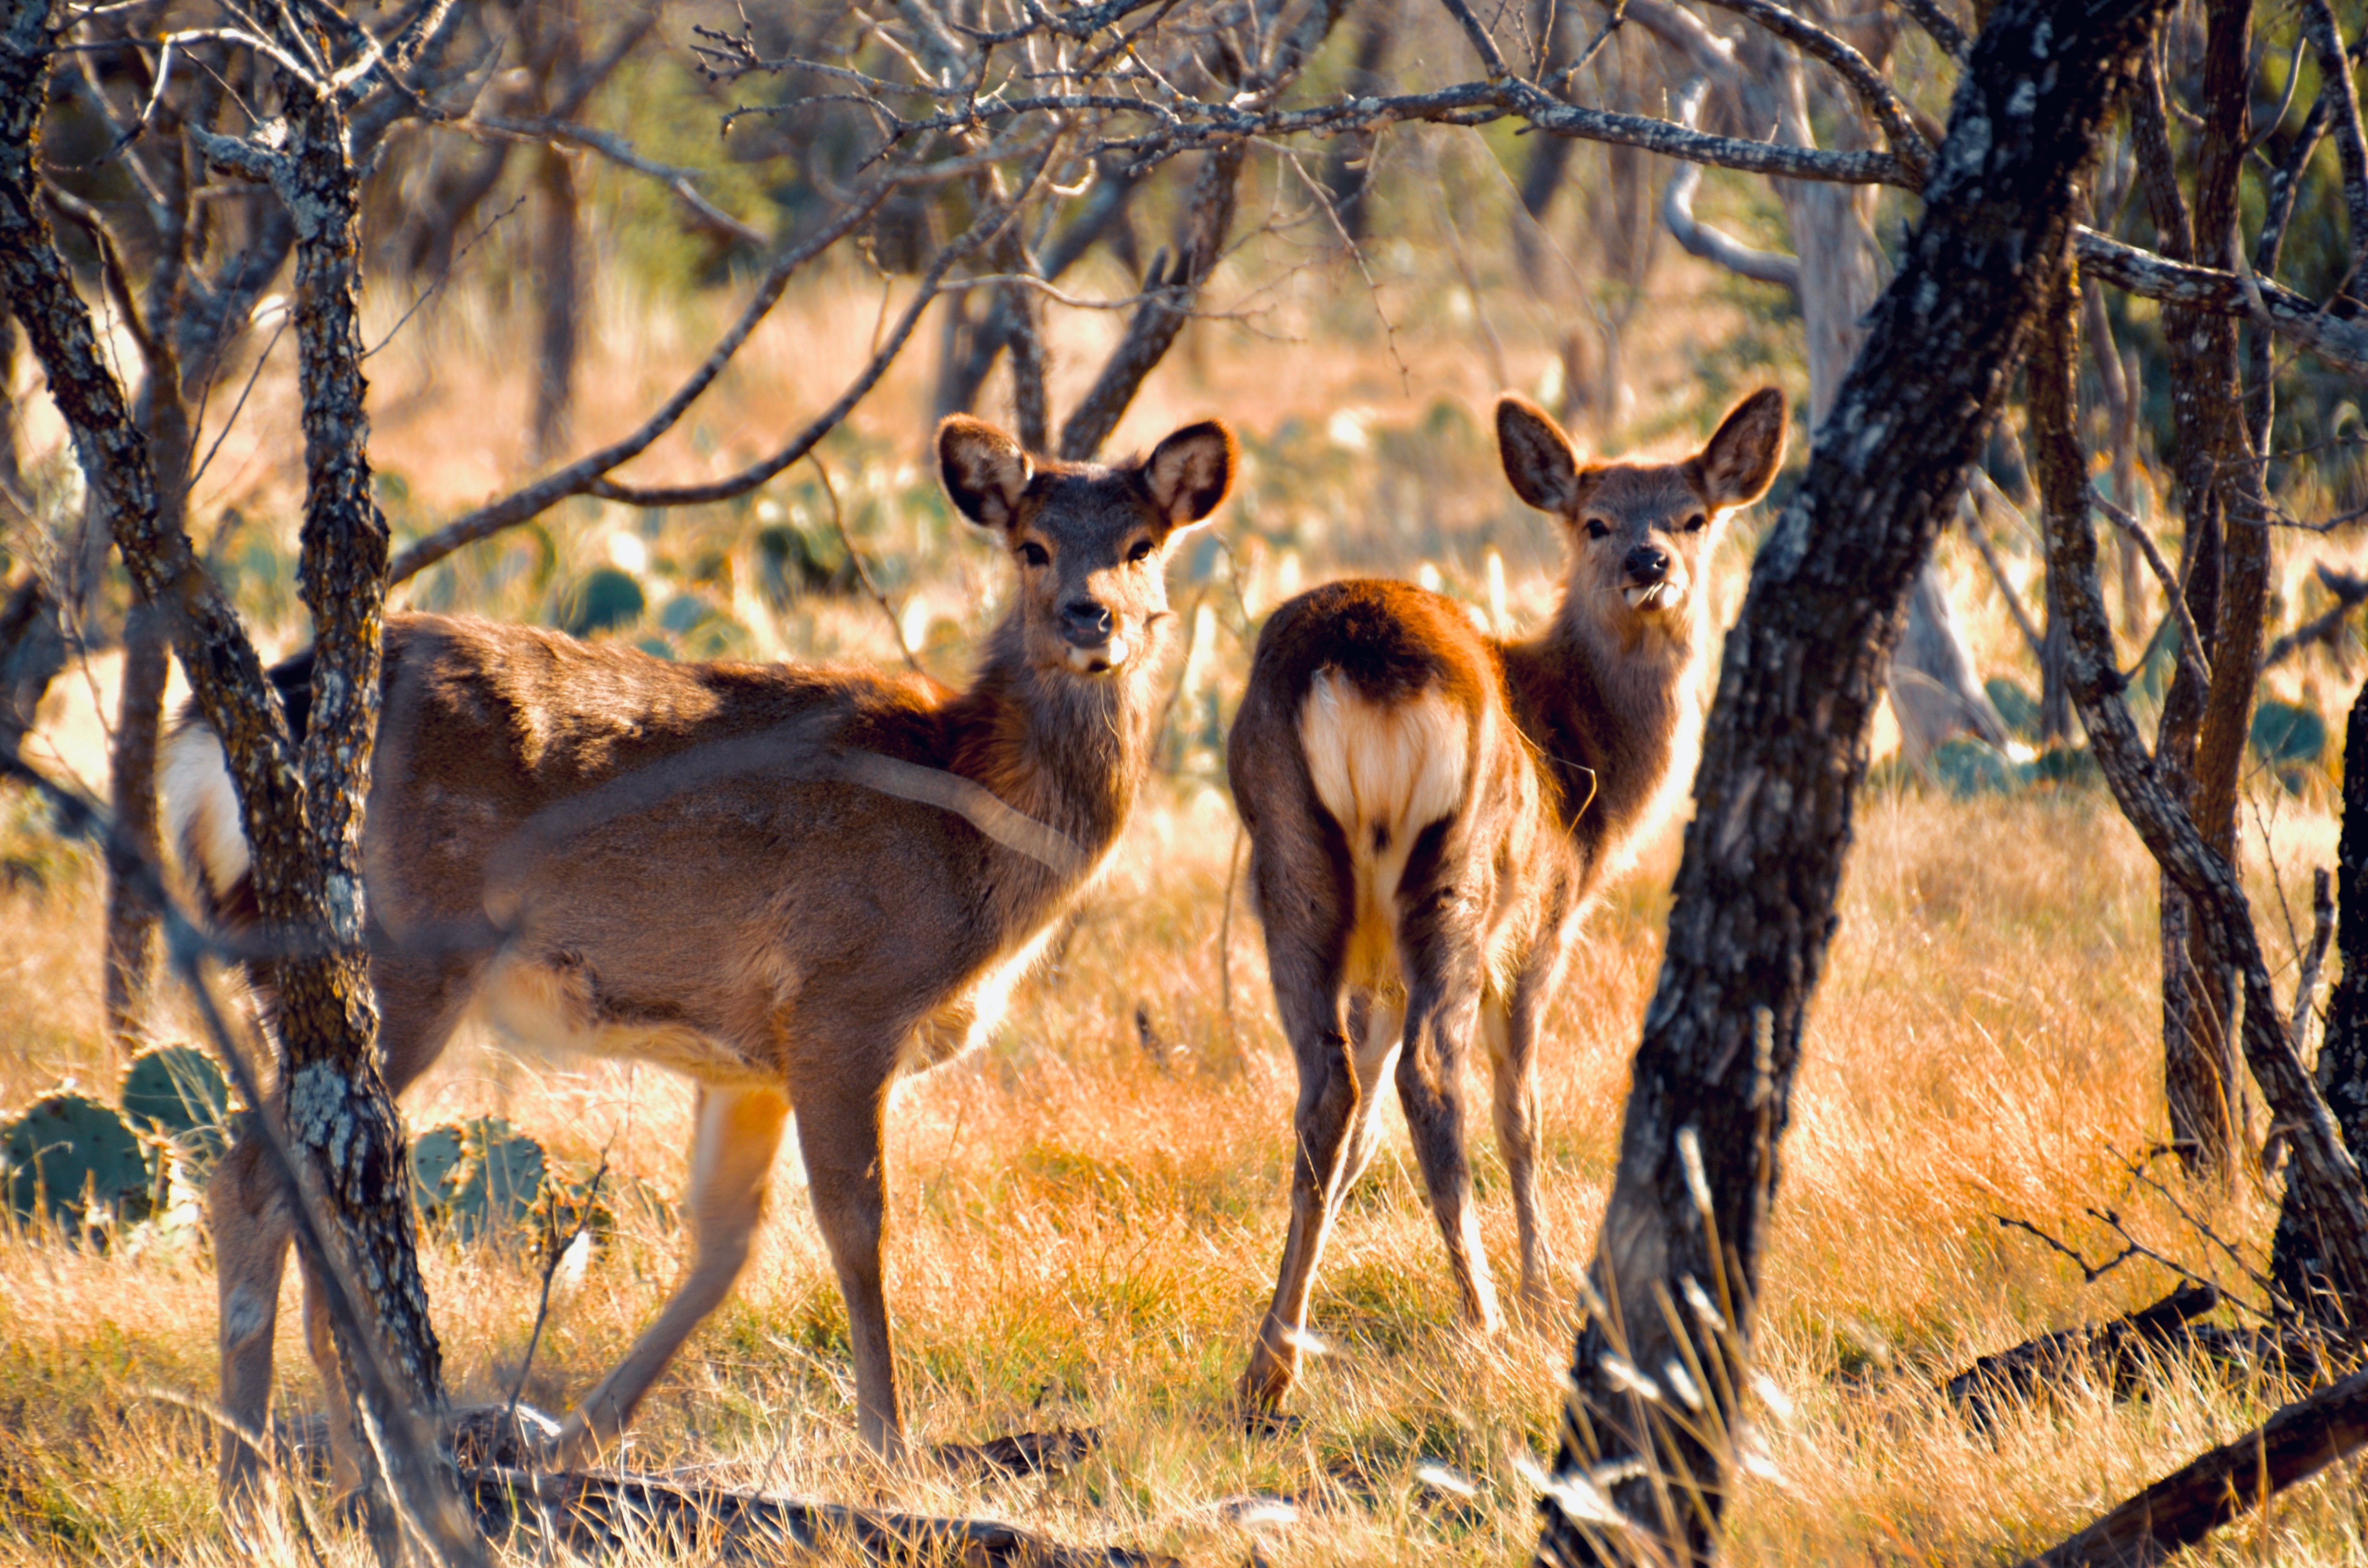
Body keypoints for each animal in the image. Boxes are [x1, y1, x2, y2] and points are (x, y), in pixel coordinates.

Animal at [164, 412, 1237, 1500]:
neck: (968, 824)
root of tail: (213, 741)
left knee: (293, 1189)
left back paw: (317, 1467)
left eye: (1142, 544)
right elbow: (857, 1225)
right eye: (1032, 545)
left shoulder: (749, 1056)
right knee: (260, 1179)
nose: (1090, 618)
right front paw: (888, 1448)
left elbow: (725, 1245)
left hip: (301, 971)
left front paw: (580, 1438)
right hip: (397, 955)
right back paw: (279, 1478)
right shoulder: (845, 998)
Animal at [1225, 387, 1786, 1411]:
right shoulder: (1543, 925)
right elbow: (1521, 1110)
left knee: (1327, 1091)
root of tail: (1360, 659)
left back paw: (1268, 1366)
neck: (1584, 756)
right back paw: (1483, 1316)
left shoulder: (1377, 974)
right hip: (1460, 874)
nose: (1649, 563)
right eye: (1594, 519)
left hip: (1289, 864)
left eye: (1692, 516)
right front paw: (1538, 1289)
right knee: (1432, 1076)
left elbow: (1357, 1138)